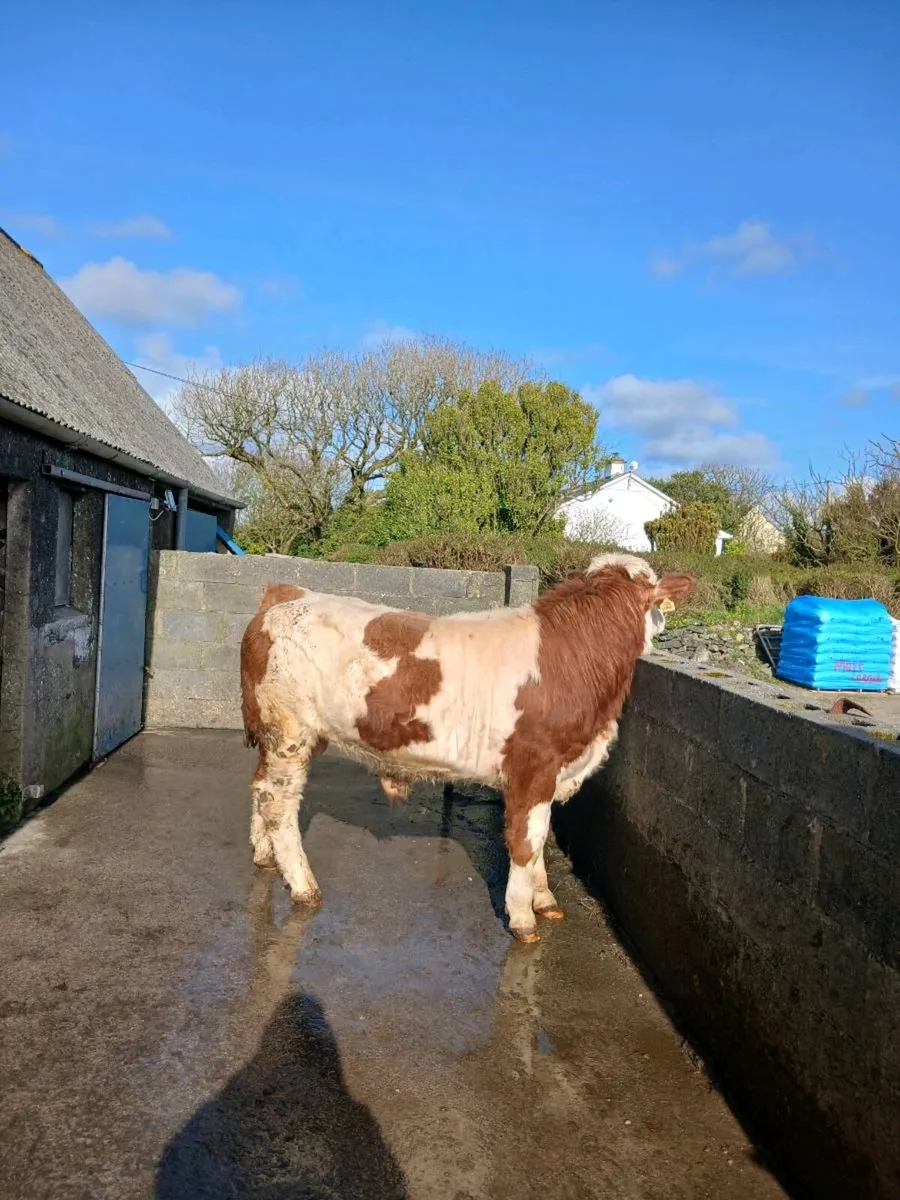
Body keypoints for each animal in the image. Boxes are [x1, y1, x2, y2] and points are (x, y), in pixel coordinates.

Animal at [240, 554, 693, 942]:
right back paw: (303, 886)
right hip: (289, 733)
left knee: (260, 789)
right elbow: (526, 841)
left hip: (285, 739)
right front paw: (523, 917)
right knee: (279, 804)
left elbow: (541, 837)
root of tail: (288, 595)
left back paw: (264, 857)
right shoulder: (532, 767)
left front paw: (545, 899)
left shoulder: (551, 775)